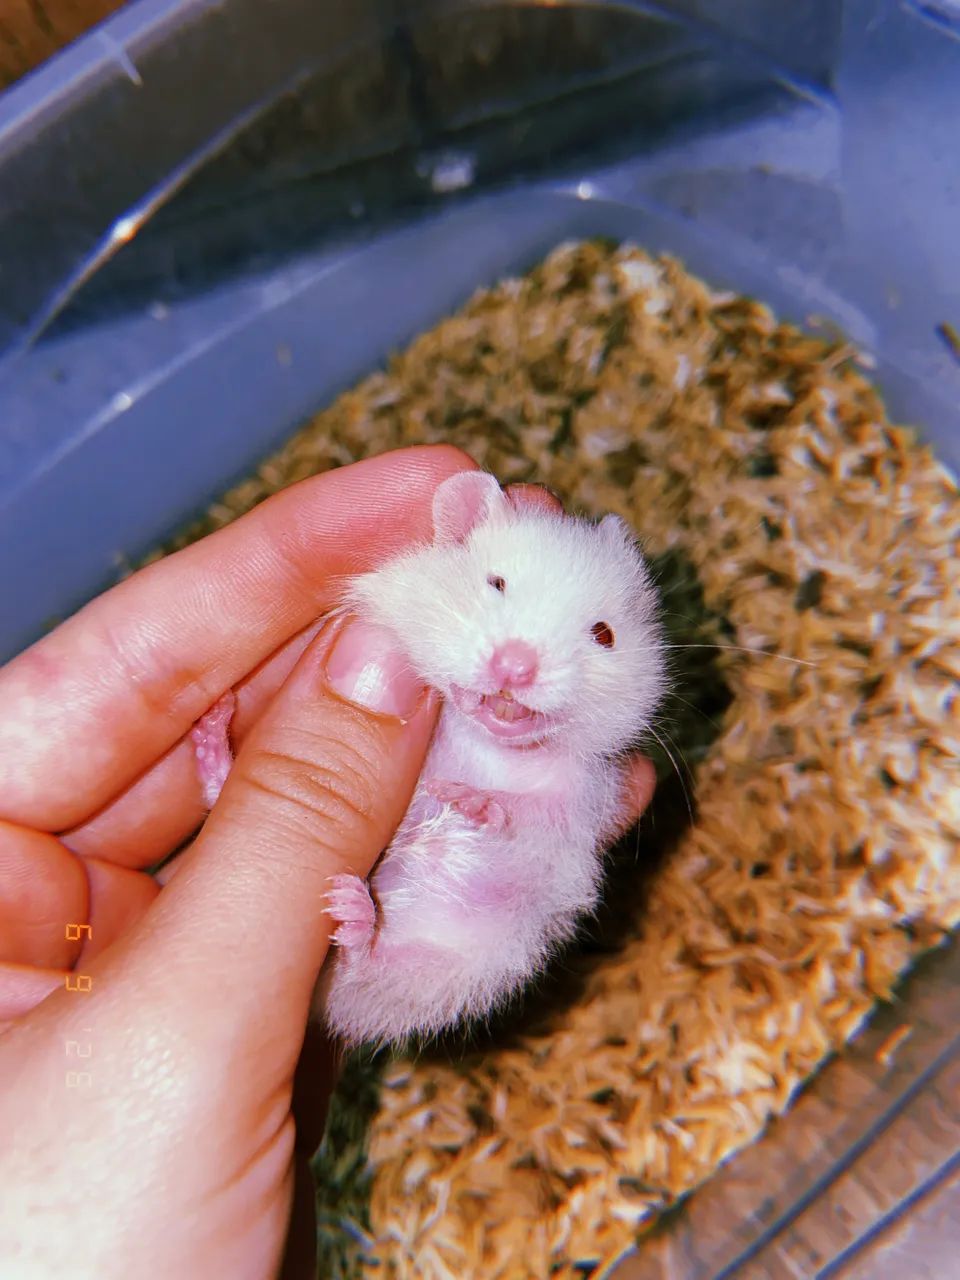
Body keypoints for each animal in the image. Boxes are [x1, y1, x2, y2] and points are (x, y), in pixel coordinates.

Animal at [190, 471, 666, 1047]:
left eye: (604, 634)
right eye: (496, 583)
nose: (515, 665)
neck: (488, 745)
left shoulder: (582, 805)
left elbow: (530, 814)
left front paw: (465, 803)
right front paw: (438, 799)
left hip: (446, 974)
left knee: (368, 971)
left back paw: (350, 912)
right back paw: (214, 729)